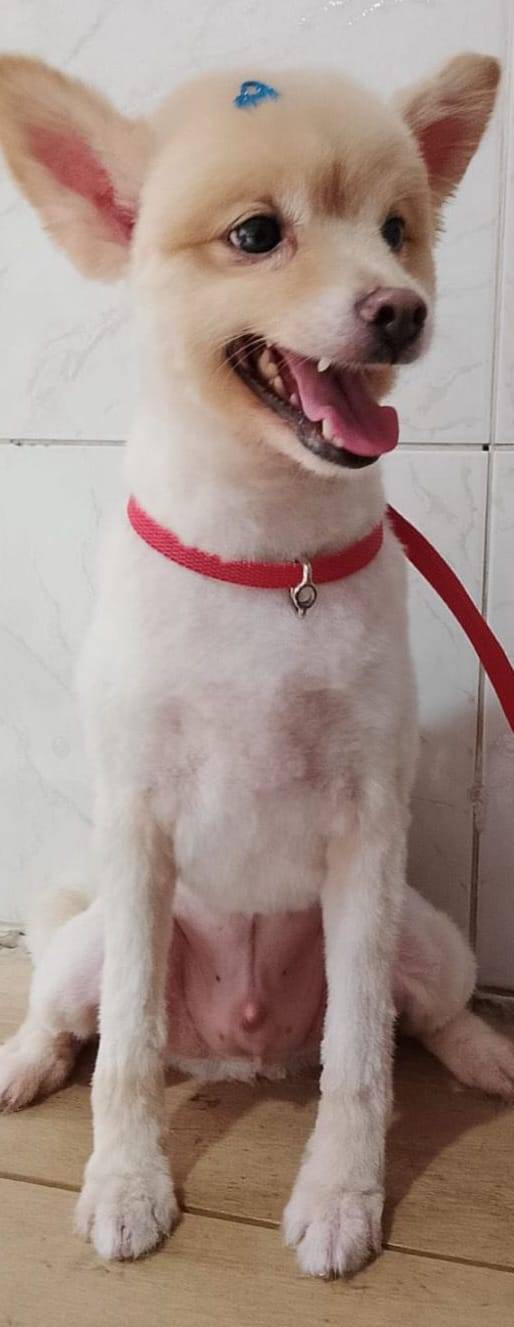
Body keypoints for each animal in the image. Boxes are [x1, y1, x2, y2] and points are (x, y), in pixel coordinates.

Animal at [0, 52, 512, 1278]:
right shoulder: (137, 825)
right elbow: (125, 1052)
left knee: (425, 1012)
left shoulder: (367, 829)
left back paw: (484, 1055)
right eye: (255, 235)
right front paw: (125, 1181)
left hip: (429, 935)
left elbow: (361, 1065)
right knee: (67, 1012)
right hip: (90, 939)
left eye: (396, 230)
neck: (269, 556)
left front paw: (340, 1196)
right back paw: (22, 1063)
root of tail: (236, 1054)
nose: (403, 310)